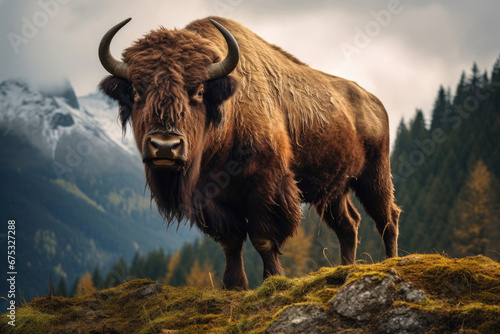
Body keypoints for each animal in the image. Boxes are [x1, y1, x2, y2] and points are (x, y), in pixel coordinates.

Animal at [98, 16, 402, 290]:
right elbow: (231, 241)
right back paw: (345, 268)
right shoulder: (211, 199)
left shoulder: (266, 188)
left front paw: (273, 279)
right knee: (349, 224)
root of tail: (374, 101)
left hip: (374, 176)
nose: (164, 146)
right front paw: (234, 286)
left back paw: (391, 262)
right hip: (332, 191)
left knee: (387, 217)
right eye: (137, 91)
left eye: (198, 92)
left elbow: (262, 238)